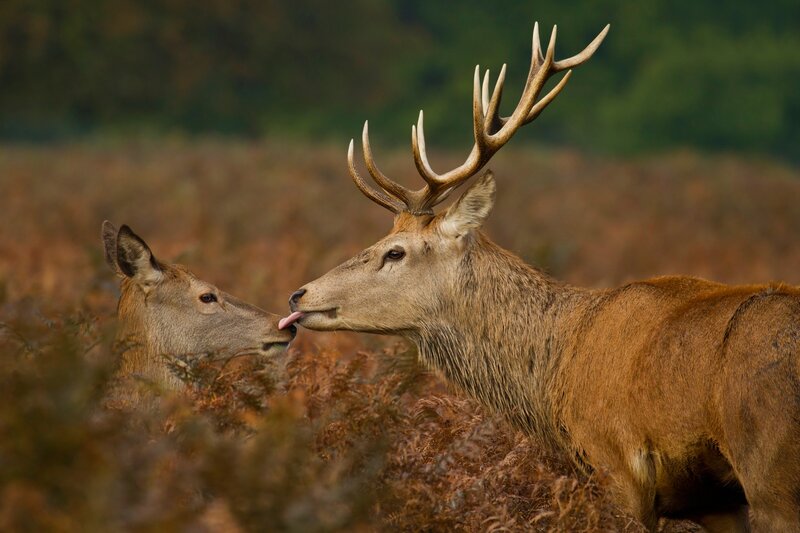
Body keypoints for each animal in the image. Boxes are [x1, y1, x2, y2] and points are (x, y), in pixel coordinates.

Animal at [279, 23, 800, 533]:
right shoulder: (715, 503)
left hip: (771, 471)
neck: (557, 373)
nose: (298, 295)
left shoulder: (616, 466)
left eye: (395, 252)